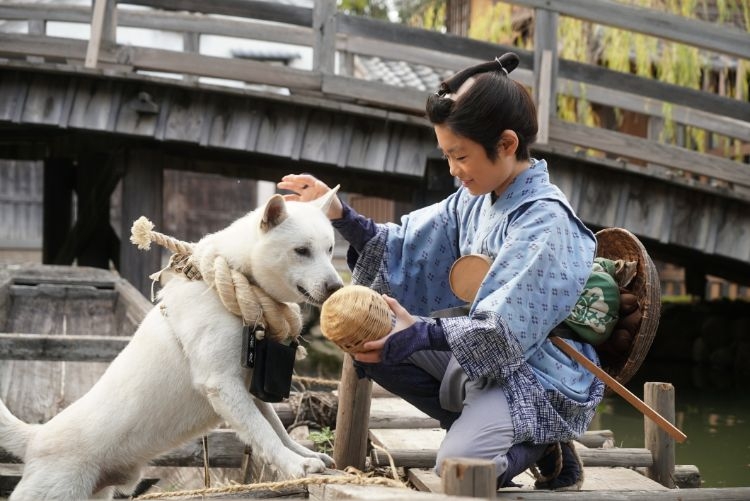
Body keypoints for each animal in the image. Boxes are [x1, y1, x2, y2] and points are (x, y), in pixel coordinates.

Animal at [0, 189, 346, 498]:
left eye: (330, 249)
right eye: (301, 250)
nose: (337, 287)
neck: (230, 287)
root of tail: (37, 437)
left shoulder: (249, 390)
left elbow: (276, 428)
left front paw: (304, 454)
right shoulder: (222, 384)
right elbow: (264, 433)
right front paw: (296, 465)